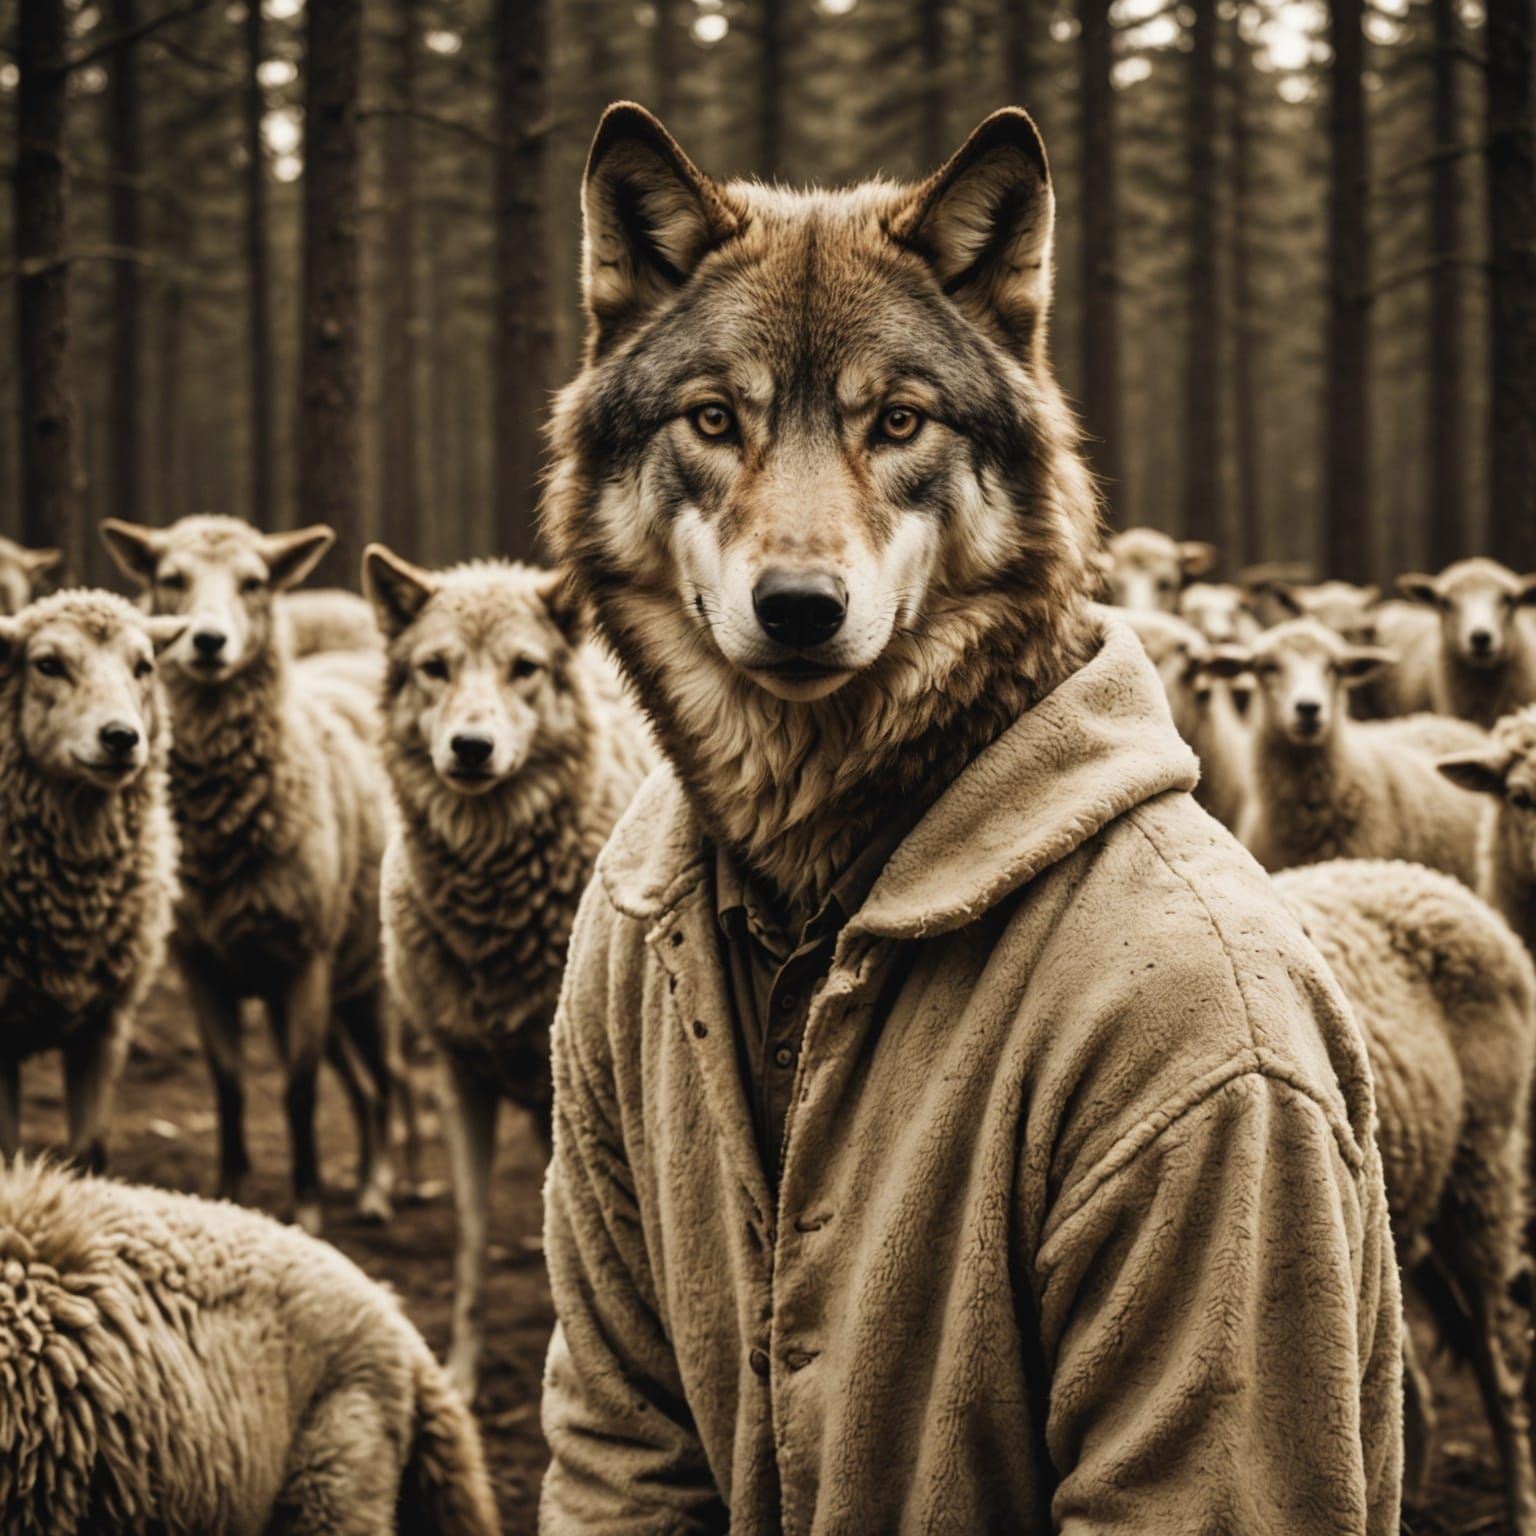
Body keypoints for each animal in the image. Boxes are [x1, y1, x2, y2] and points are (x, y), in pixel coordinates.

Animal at [100, 515, 400, 1237]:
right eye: (170, 578)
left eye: (255, 581)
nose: (208, 640)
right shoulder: (203, 965)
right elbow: (230, 1085)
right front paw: (231, 1191)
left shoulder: (305, 962)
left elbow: (298, 1090)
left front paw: (308, 1205)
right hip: (325, 992)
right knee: (361, 1084)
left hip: (361, 981)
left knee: (387, 1078)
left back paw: (380, 1186)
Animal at [365, 546, 656, 1400]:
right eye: (435, 668)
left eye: (523, 668)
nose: (470, 747)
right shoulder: (462, 1074)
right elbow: (470, 1240)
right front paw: (460, 1374)